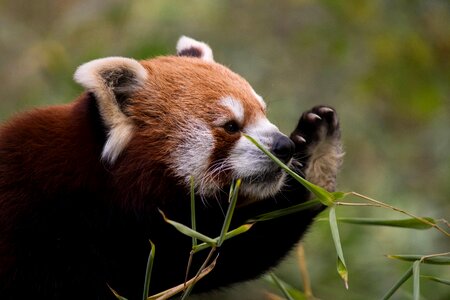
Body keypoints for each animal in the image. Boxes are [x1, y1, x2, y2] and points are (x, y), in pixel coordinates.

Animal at [0, 36, 342, 298]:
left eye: (264, 112)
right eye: (231, 126)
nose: (284, 147)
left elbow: (219, 253)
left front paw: (316, 156)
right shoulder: (54, 235)